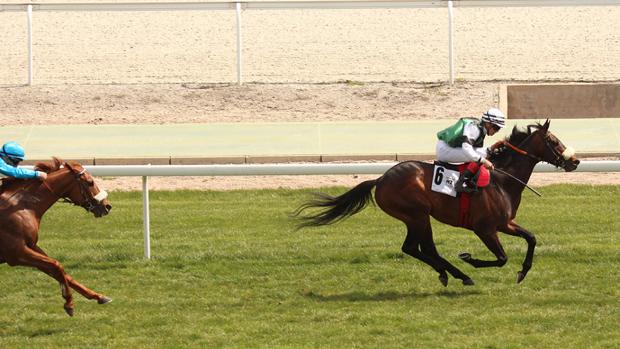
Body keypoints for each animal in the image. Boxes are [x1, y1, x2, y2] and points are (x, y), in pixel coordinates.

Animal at [0, 158, 112, 316]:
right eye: (90, 182)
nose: (107, 206)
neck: (21, 206)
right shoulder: (16, 253)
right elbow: (56, 265)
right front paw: (69, 303)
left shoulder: (31, 246)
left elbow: (60, 270)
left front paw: (98, 296)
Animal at [294, 119, 580, 286]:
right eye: (553, 141)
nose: (575, 161)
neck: (502, 180)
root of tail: (381, 179)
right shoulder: (485, 228)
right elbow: (501, 258)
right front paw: (470, 259)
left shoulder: (505, 223)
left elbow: (531, 238)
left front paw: (523, 272)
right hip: (416, 215)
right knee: (414, 247)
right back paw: (459, 274)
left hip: (421, 217)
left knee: (424, 248)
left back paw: (450, 273)